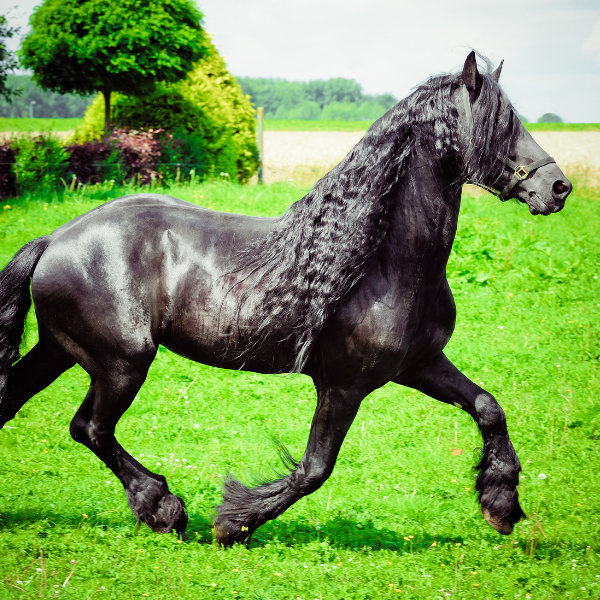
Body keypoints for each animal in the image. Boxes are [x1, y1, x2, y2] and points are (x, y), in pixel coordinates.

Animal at [0, 54, 572, 548]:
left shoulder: (420, 363)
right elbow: (314, 470)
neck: (382, 262)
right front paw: (232, 524)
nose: (558, 187)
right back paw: (163, 508)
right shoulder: (343, 385)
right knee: (91, 427)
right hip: (121, 362)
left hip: (61, 350)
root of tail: (54, 240)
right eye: (501, 123)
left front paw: (500, 503)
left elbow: (487, 406)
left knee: (20, 403)